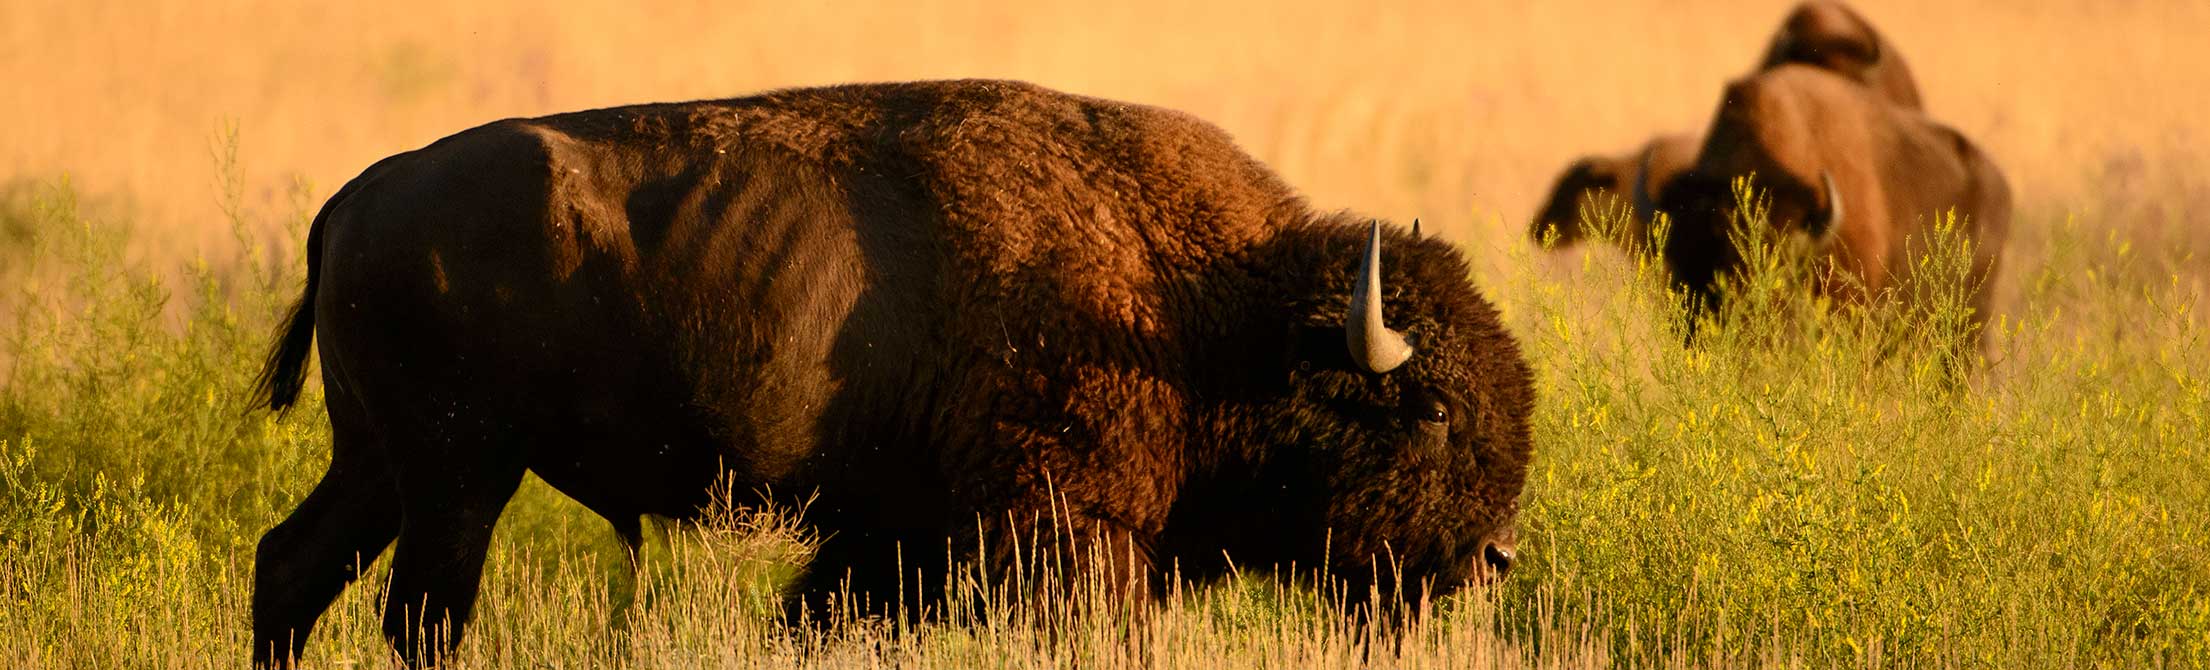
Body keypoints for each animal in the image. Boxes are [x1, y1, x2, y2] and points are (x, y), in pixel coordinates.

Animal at [250, 78, 1538, 667]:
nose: (1491, 558)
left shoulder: (887, 543)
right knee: (417, 613)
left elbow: (818, 618)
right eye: (1427, 405)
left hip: (381, 465)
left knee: (291, 567)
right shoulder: (1067, 537)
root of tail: (362, 193)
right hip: (457, 474)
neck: (1203, 309)